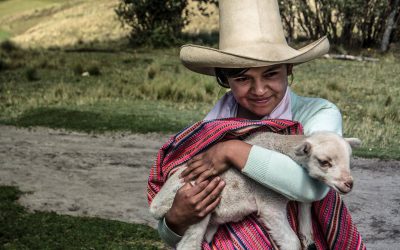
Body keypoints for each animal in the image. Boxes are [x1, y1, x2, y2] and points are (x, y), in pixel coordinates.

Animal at [148, 132, 360, 249]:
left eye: (350, 160)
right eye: (324, 162)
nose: (349, 184)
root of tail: (154, 205)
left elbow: (306, 219)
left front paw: (308, 237)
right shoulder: (270, 202)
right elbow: (291, 242)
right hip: (196, 205)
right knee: (188, 245)